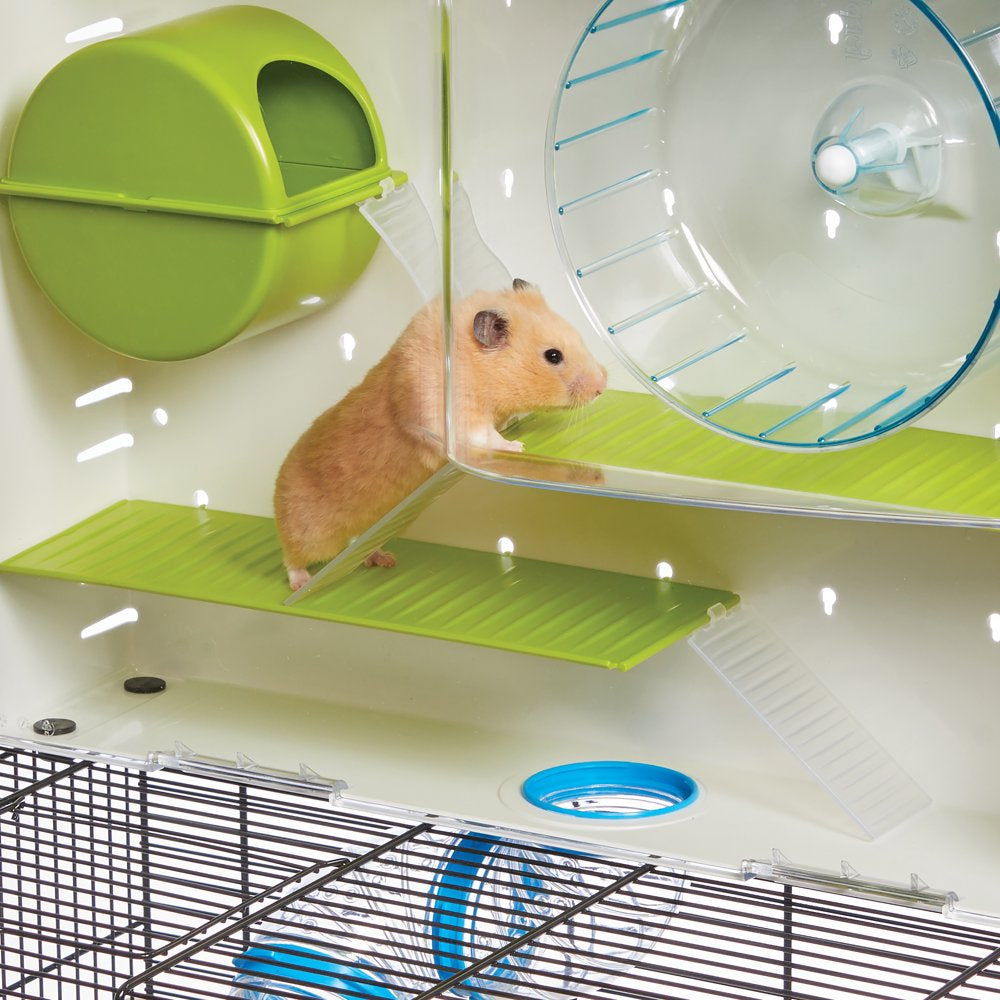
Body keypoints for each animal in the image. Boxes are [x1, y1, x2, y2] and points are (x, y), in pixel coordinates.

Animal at [273, 279, 608, 590]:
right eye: (553, 356)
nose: (602, 386)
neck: (476, 366)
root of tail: (276, 490)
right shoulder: (457, 416)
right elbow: (485, 436)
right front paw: (517, 446)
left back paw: (385, 559)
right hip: (310, 533)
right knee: (291, 557)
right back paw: (301, 582)